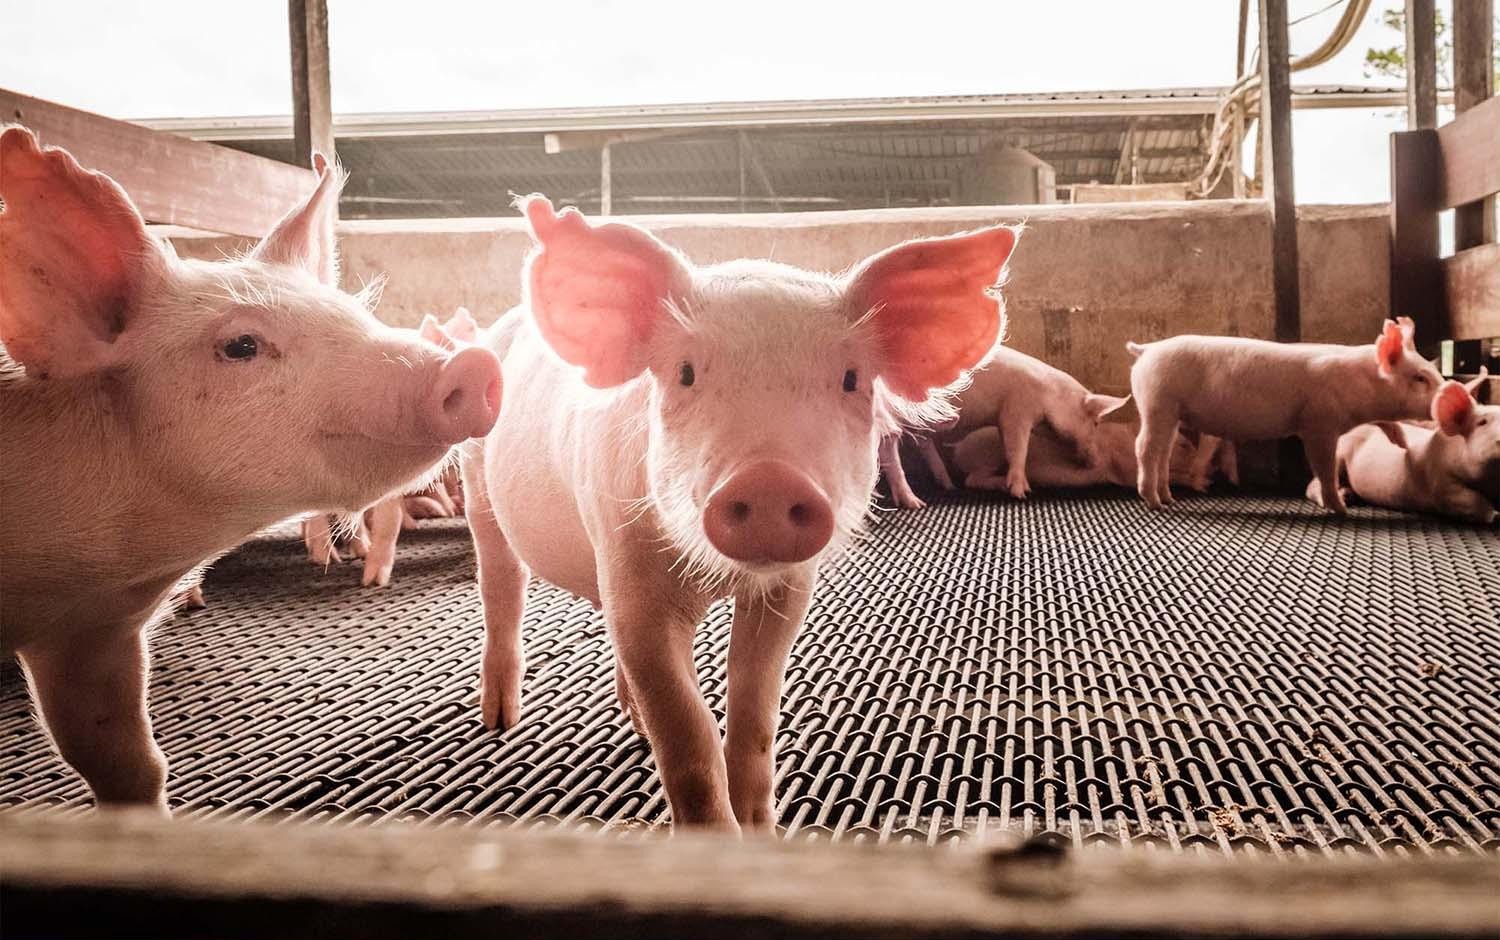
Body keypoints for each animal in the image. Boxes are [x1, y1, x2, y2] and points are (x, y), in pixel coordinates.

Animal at [462, 196, 1017, 831]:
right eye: (684, 372)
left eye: (851, 379)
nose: (769, 479)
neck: (719, 579)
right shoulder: (629, 568)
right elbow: (687, 732)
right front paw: (717, 837)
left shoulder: (787, 588)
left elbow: (754, 710)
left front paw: (760, 828)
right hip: (478, 482)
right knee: (501, 584)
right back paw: (500, 719)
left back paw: (630, 724)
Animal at [1128, 318, 1442, 512]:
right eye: (1420, 378)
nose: (1448, 395)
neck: (1362, 382)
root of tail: (1147, 348)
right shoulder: (1319, 422)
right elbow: (1324, 467)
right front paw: (1340, 510)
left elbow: (1386, 422)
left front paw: (1402, 444)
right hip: (1157, 402)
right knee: (1144, 447)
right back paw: (1154, 503)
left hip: (1171, 411)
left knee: (1163, 452)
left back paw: (1168, 499)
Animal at [1308, 372, 1499, 524]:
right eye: (1482, 423)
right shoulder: (1440, 482)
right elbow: (1468, 499)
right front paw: (1495, 515)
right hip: (1338, 456)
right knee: (1314, 485)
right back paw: (1343, 499)